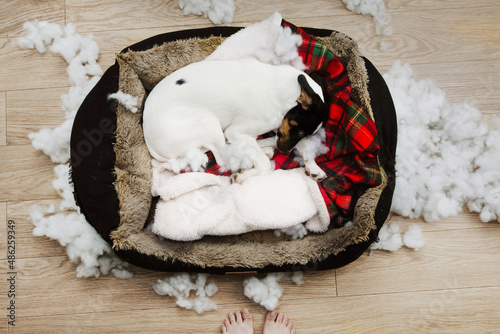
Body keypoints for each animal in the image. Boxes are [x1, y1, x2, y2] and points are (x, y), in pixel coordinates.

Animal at [142, 57, 328, 183]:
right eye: (301, 130)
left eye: (306, 133)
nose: (284, 152)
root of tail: (150, 143)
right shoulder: (236, 131)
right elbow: (264, 165)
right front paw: (244, 175)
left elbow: (297, 145)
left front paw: (313, 166)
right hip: (207, 120)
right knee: (224, 158)